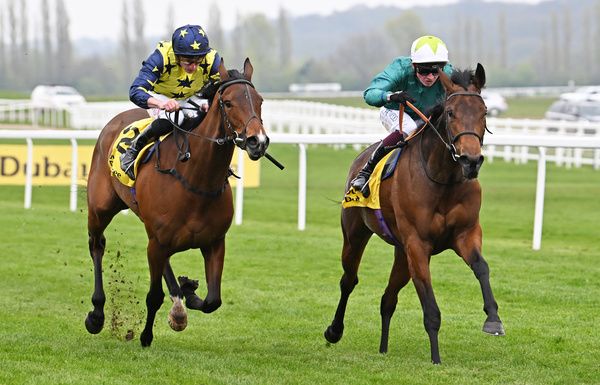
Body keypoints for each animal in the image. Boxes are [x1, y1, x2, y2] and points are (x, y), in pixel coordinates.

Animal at [85, 58, 270, 346]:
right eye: (228, 102)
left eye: (260, 101)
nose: (257, 141)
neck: (197, 181)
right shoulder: (157, 242)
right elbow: (153, 296)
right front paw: (146, 336)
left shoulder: (214, 242)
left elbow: (213, 301)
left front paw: (188, 291)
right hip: (100, 208)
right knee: (97, 245)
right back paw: (96, 314)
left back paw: (179, 304)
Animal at [324, 63, 502, 364]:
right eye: (451, 112)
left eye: (484, 111)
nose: (471, 160)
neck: (442, 178)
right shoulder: (418, 244)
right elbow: (430, 308)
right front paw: (436, 359)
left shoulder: (465, 234)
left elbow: (482, 267)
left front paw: (493, 319)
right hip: (355, 234)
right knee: (349, 280)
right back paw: (334, 331)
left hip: (401, 253)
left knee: (387, 298)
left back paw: (383, 348)